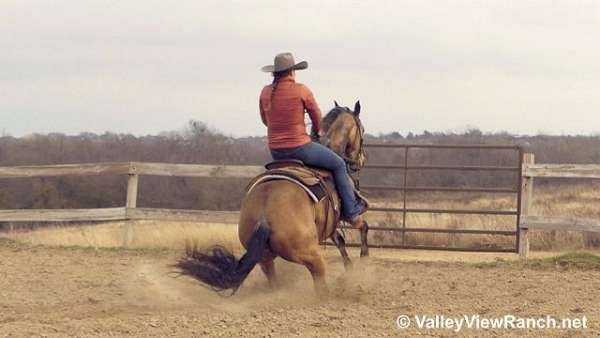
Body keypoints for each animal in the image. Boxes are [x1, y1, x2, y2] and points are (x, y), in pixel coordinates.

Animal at [176, 101, 368, 296]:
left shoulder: (328, 224)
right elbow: (363, 227)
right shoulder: (349, 216)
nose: (360, 161)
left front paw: (350, 269)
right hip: (312, 257)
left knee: (273, 281)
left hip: (265, 260)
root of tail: (264, 217)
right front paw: (363, 259)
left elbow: (340, 240)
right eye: (362, 129)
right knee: (320, 286)